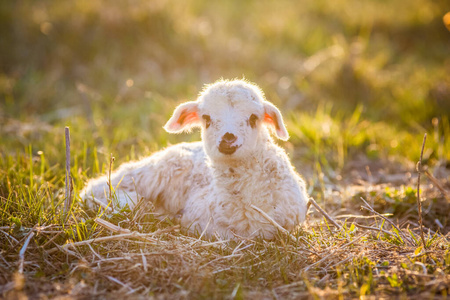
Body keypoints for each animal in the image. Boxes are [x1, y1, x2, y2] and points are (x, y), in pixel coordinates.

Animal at [81, 79, 310, 239]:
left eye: (254, 118)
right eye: (206, 118)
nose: (228, 139)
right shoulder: (199, 220)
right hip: (156, 170)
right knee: (101, 188)